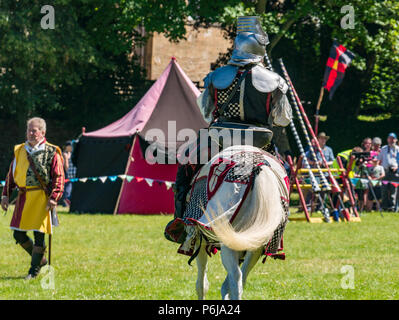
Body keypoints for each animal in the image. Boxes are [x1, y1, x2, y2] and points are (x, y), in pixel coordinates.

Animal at [186, 145, 290, 300]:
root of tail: (259, 168)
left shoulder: (200, 238)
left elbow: (202, 284)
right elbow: (225, 285)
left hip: (229, 242)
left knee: (236, 278)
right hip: (253, 244)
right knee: (241, 279)